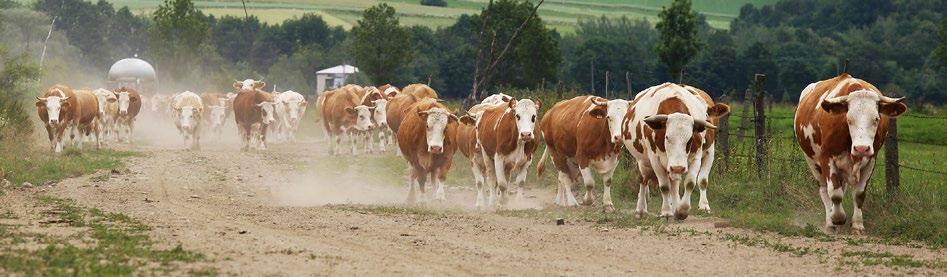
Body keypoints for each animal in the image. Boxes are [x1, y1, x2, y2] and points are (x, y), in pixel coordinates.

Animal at [624, 83, 728, 219]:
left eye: (690, 139)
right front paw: (666, 212)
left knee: (673, 183)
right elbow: (664, 186)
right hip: (643, 161)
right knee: (643, 180)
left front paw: (683, 210)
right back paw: (641, 210)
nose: (678, 167)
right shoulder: (655, 160)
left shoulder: (701, 156)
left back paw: (675, 206)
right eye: (667, 137)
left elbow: (693, 182)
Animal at [792, 73, 912, 233]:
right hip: (812, 162)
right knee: (824, 190)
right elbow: (834, 194)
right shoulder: (826, 158)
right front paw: (837, 218)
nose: (861, 148)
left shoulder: (871, 160)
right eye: (849, 119)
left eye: (876, 118)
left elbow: (859, 194)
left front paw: (857, 225)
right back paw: (830, 221)